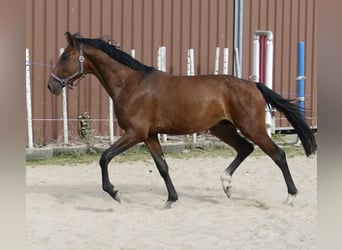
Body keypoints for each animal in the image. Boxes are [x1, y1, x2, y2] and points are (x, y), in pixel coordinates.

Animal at [46, 32, 316, 208]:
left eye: (65, 56)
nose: (51, 85)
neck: (131, 84)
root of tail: (253, 85)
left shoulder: (135, 133)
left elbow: (104, 157)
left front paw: (115, 193)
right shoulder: (149, 135)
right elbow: (162, 167)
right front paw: (171, 200)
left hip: (252, 127)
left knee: (277, 154)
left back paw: (290, 196)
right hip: (222, 128)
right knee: (245, 148)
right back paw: (226, 185)